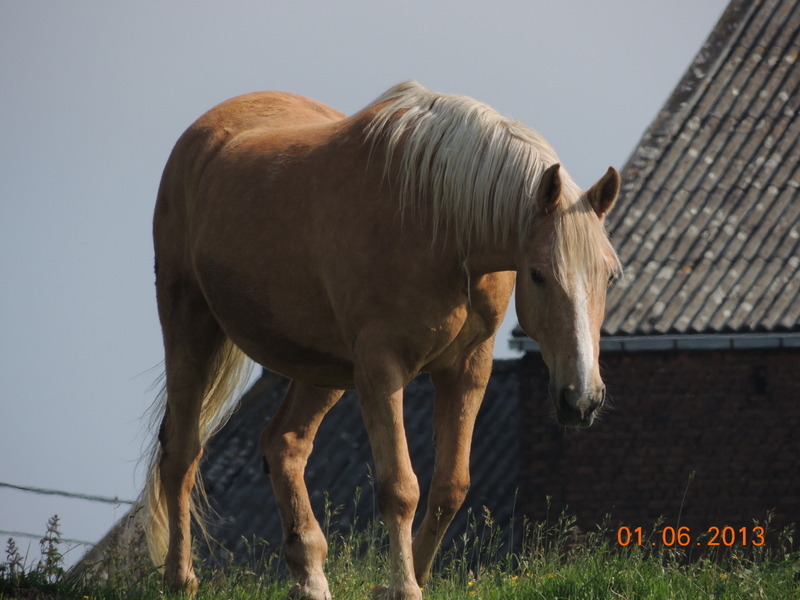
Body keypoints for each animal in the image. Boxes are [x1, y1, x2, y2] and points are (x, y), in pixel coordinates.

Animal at [142, 81, 620, 600]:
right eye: (537, 274)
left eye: (609, 276)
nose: (582, 399)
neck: (441, 220)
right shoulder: (381, 367)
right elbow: (400, 487)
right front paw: (404, 587)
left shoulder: (468, 367)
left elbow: (451, 486)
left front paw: (413, 579)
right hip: (190, 325)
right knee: (182, 452)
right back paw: (180, 577)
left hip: (324, 369)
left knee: (283, 444)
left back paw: (310, 576)